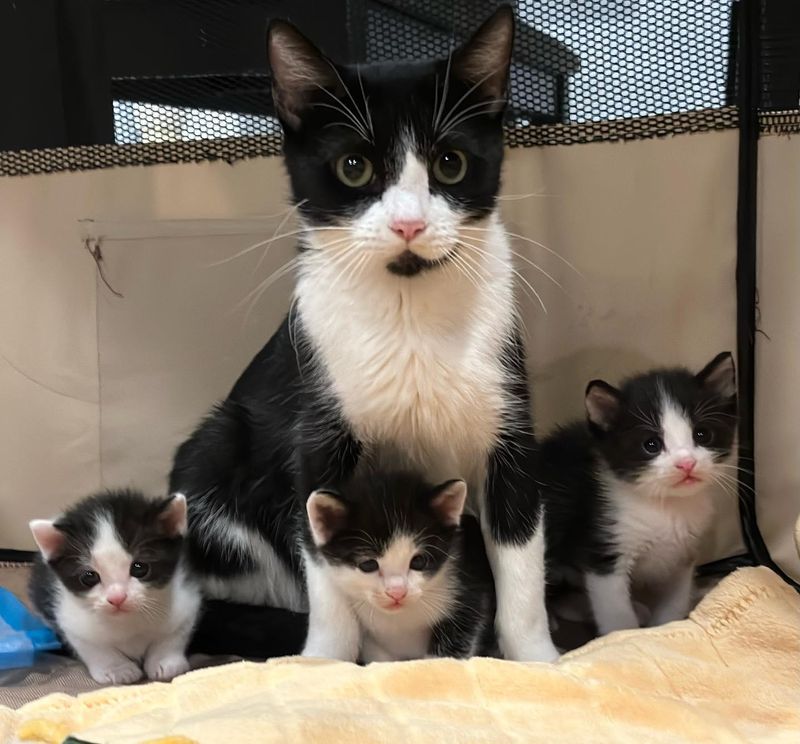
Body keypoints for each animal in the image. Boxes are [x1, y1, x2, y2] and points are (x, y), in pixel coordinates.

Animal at [29, 488, 202, 684]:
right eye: (89, 577)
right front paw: (117, 669)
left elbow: (173, 636)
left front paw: (166, 662)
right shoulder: (71, 621)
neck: (128, 621)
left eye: (140, 568)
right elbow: (95, 648)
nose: (117, 597)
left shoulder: (186, 603)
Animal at [536, 354, 736, 632]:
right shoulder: (604, 554)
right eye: (651, 444)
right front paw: (624, 635)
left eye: (702, 434)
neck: (665, 506)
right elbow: (616, 614)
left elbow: (674, 602)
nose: (686, 463)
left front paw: (665, 629)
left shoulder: (683, 554)